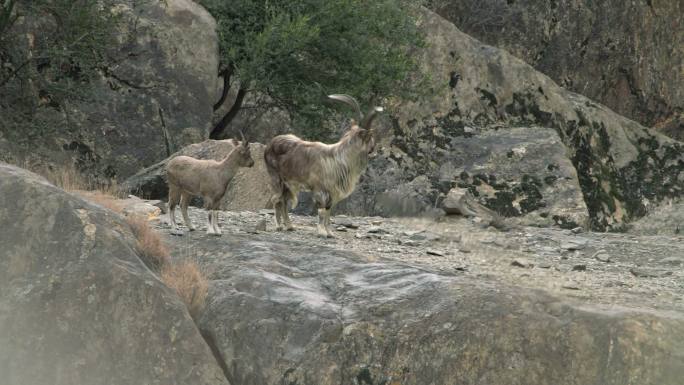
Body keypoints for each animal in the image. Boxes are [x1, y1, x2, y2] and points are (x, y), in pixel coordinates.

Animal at [264, 94, 382, 237]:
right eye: (370, 136)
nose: (375, 150)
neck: (337, 159)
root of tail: (271, 143)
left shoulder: (332, 193)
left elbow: (328, 212)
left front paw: (330, 233)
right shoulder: (319, 189)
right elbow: (321, 211)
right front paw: (321, 232)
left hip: (288, 184)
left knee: (285, 201)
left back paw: (290, 226)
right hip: (276, 178)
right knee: (277, 200)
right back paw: (279, 226)